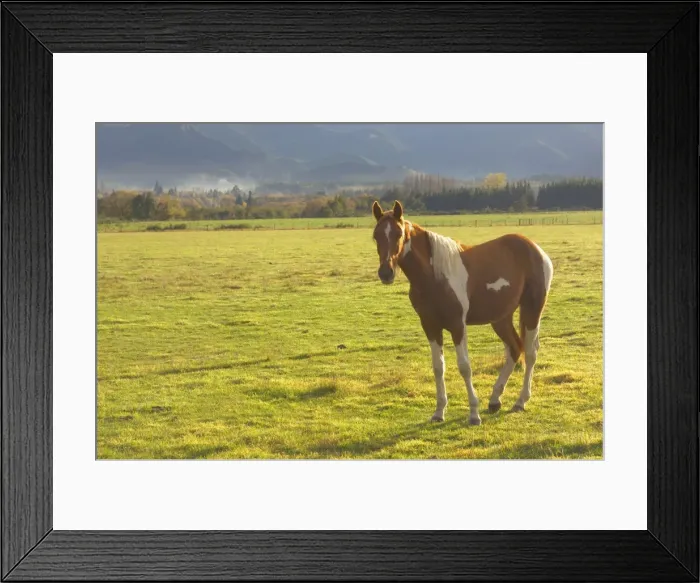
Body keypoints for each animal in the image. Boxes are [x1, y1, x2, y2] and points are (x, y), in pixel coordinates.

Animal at [371, 200, 553, 425]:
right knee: (514, 348)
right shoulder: (430, 326)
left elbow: (464, 367)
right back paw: (495, 400)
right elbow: (438, 367)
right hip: (501, 318)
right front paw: (439, 412)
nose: (386, 273)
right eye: (376, 235)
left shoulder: (457, 325)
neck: (434, 275)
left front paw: (474, 414)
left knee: (530, 352)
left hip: (532, 310)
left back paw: (520, 402)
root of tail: (536, 250)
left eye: (398, 234)